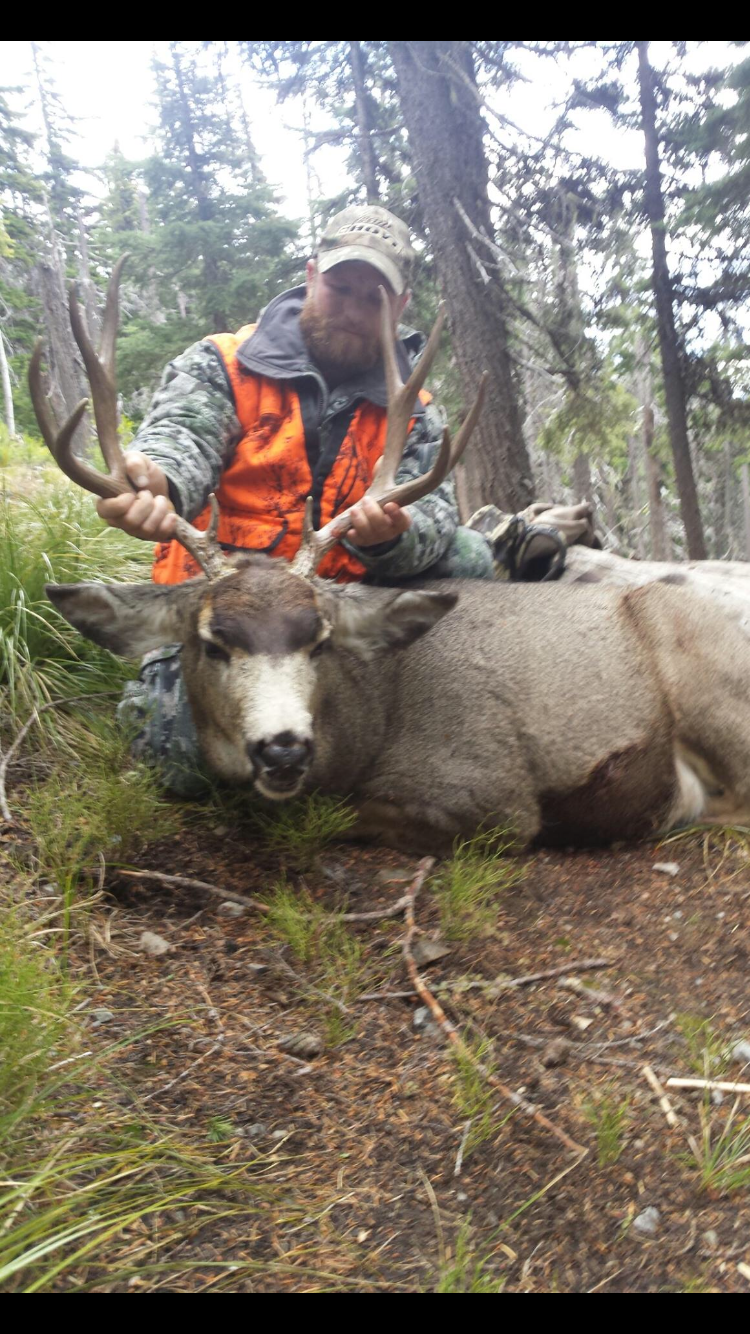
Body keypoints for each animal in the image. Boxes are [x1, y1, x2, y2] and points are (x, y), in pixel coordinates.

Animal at [28, 260, 750, 852]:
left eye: (319, 640)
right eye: (212, 642)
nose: (284, 750)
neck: (369, 722)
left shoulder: (489, 792)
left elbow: (335, 817)